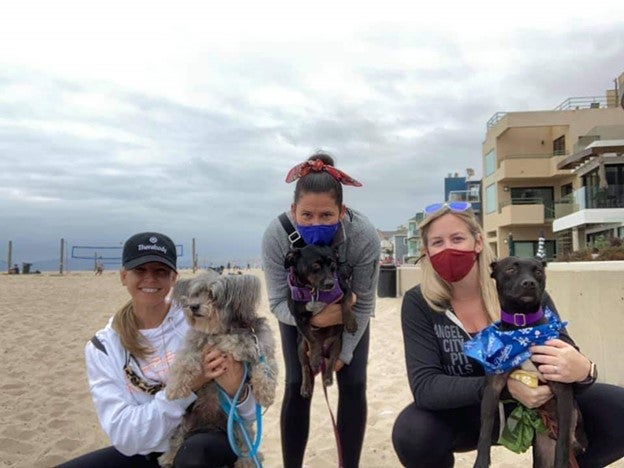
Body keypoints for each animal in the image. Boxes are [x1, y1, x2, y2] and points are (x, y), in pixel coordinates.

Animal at [158, 272, 278, 466]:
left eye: (212, 295)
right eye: (194, 294)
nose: (193, 306)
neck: (222, 330)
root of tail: (209, 424)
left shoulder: (260, 345)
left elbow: (266, 368)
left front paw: (265, 393)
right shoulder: (196, 344)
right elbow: (183, 363)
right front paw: (174, 388)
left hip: (238, 425)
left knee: (245, 445)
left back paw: (249, 461)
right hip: (185, 420)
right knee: (178, 438)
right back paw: (168, 457)